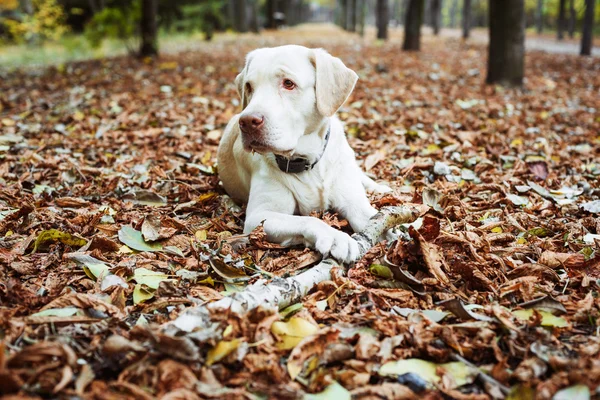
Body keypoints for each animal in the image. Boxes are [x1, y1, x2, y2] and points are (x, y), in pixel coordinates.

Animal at [218, 45, 392, 262]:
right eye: (249, 87)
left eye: (288, 83)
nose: (248, 121)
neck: (307, 162)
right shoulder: (259, 215)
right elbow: (308, 220)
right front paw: (335, 237)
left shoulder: (356, 204)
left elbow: (374, 217)